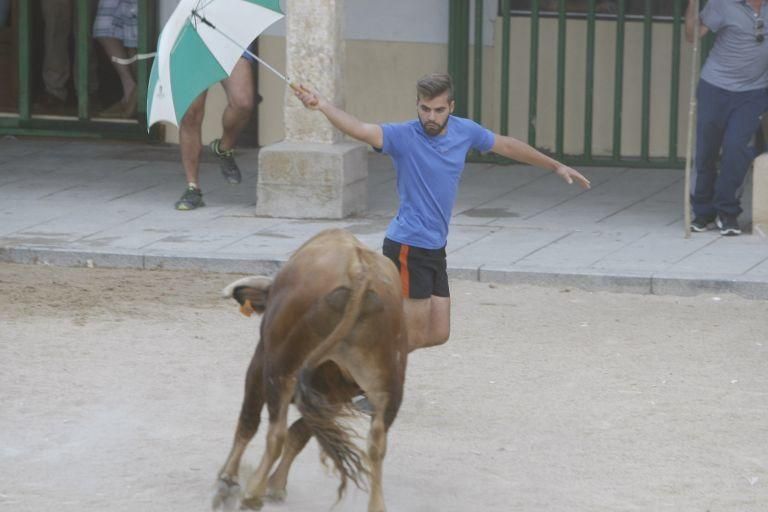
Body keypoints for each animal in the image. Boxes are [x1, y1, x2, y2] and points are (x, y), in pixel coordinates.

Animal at [212, 229, 408, 512]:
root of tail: (358, 269)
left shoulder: (260, 363)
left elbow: (250, 421)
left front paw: (228, 478)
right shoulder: (332, 396)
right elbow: (301, 433)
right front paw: (276, 485)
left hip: (281, 368)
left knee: (276, 432)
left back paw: (253, 493)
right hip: (385, 384)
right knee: (377, 442)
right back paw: (376, 505)